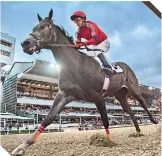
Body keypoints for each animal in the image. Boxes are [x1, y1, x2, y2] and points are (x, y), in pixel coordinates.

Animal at [11, 9, 158, 155]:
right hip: (120, 95)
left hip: (134, 89)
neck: (76, 65)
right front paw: (22, 146)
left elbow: (105, 119)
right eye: (34, 28)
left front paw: (109, 141)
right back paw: (138, 132)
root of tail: (125, 66)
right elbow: (48, 118)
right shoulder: (64, 95)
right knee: (131, 112)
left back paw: (154, 120)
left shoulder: (98, 96)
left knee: (143, 104)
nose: (25, 44)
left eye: (43, 27)